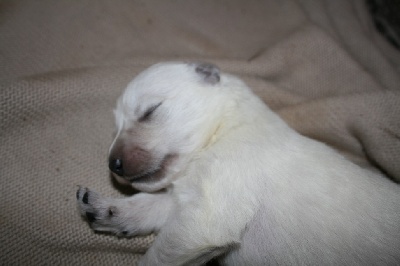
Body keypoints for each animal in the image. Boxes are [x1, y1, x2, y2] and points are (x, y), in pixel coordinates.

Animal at [77, 61, 400, 264]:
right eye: (115, 128)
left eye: (150, 111)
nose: (113, 165)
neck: (225, 129)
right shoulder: (190, 201)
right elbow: (152, 204)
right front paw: (108, 209)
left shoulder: (206, 216)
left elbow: (159, 253)